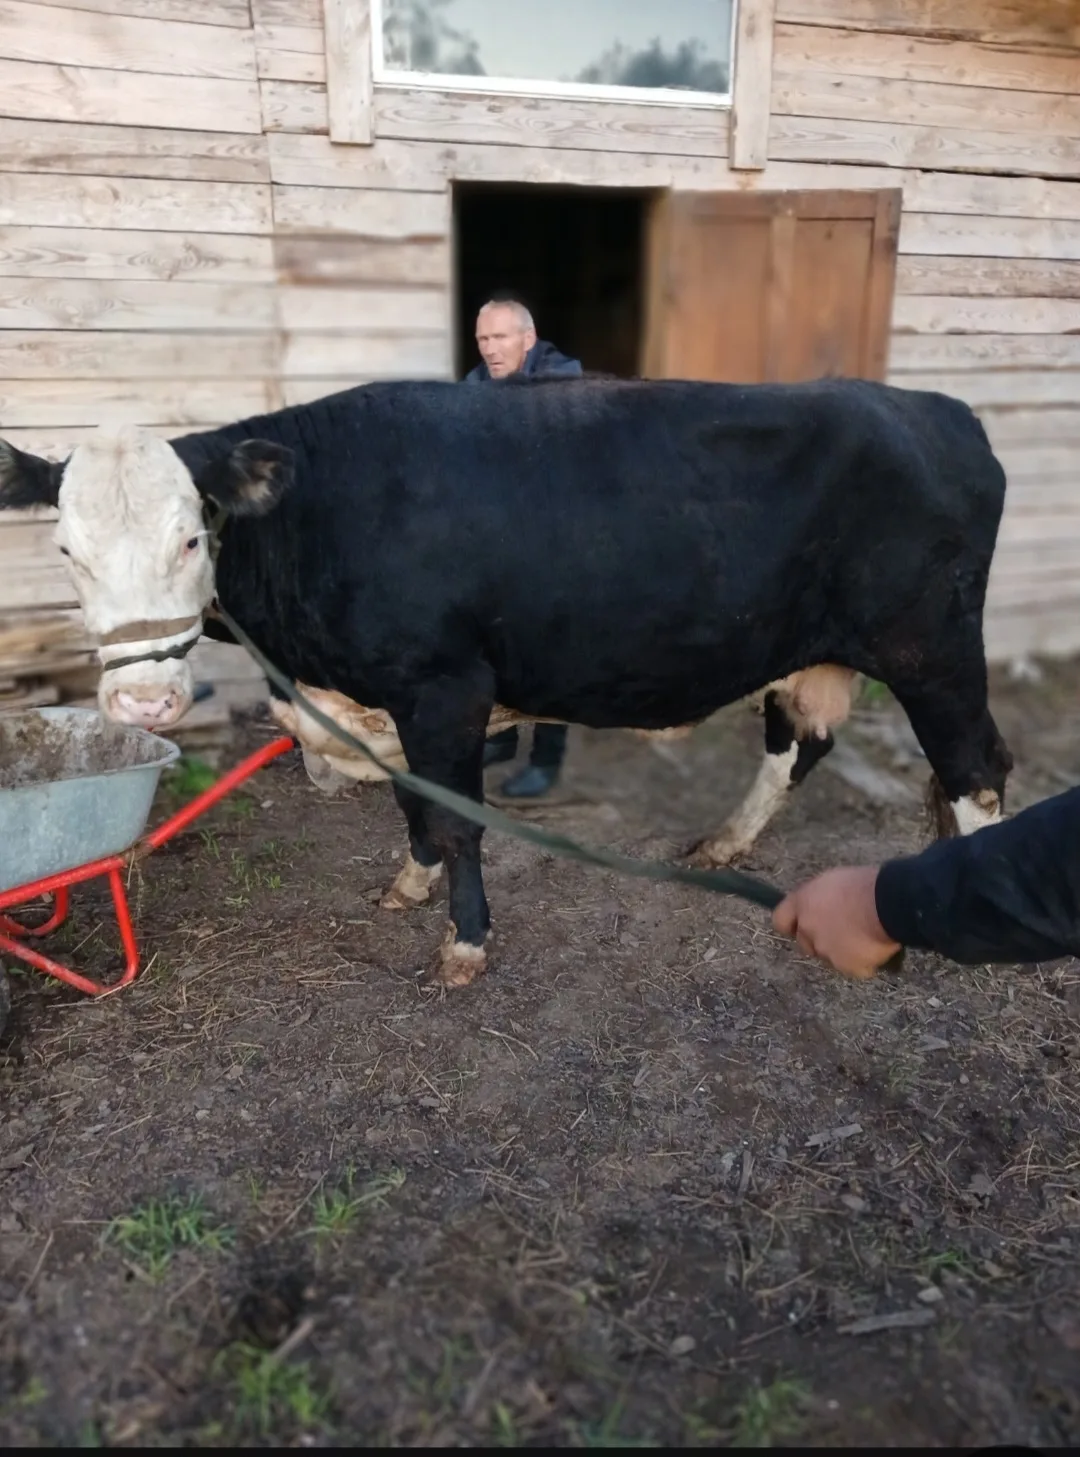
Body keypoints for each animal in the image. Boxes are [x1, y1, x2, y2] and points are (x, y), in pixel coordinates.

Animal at [0, 376, 1013, 986]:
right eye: (67, 550)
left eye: (190, 537)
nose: (142, 703)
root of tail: (938, 407)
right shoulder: (393, 700)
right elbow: (410, 804)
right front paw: (407, 886)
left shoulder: (445, 685)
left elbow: (455, 817)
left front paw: (465, 942)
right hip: (814, 649)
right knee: (798, 743)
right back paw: (726, 843)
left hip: (931, 649)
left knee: (978, 766)